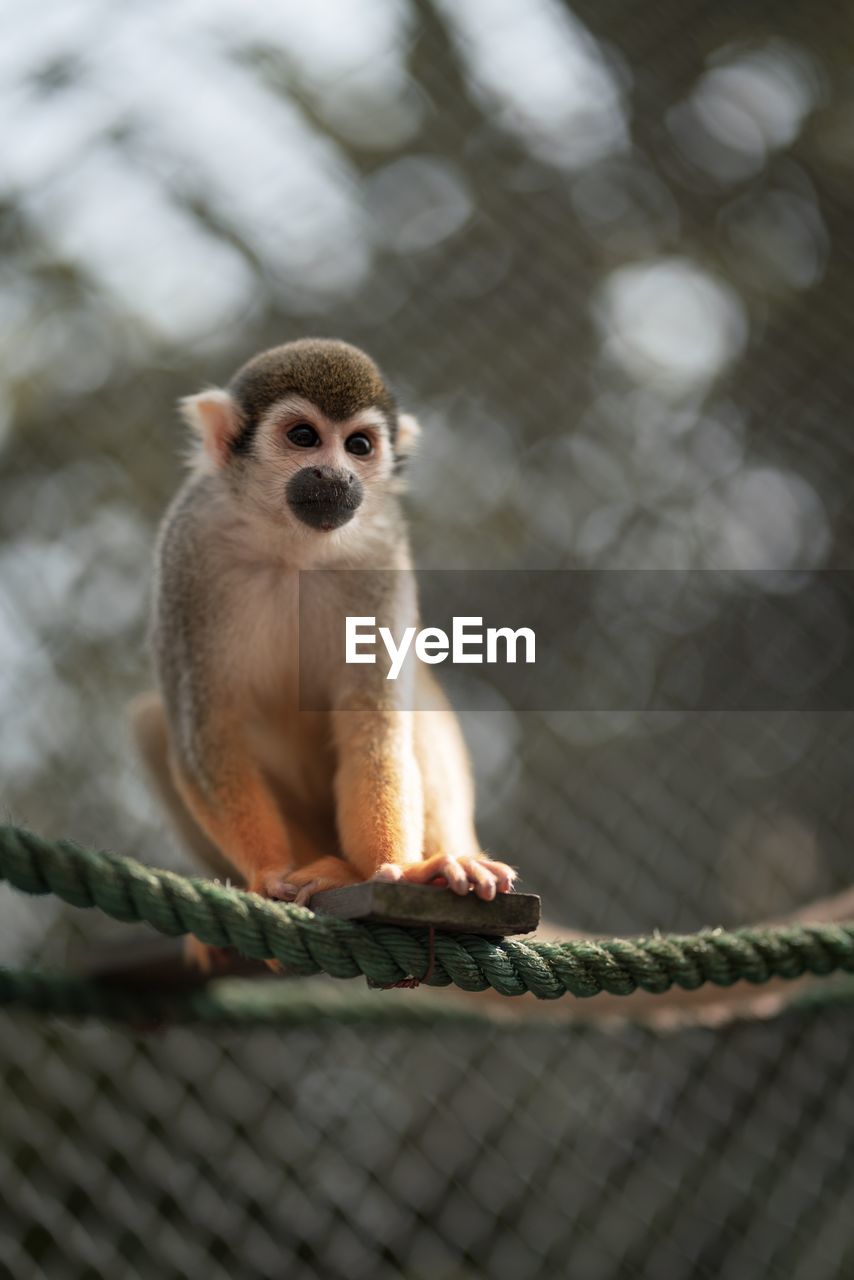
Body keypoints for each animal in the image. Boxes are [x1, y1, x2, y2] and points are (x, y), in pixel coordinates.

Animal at [133, 335, 514, 936]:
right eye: (304, 437)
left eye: (358, 446)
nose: (336, 476)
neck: (293, 548)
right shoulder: (189, 551)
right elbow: (208, 734)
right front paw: (268, 875)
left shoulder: (381, 555)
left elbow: (374, 727)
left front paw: (395, 870)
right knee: (155, 723)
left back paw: (406, 864)